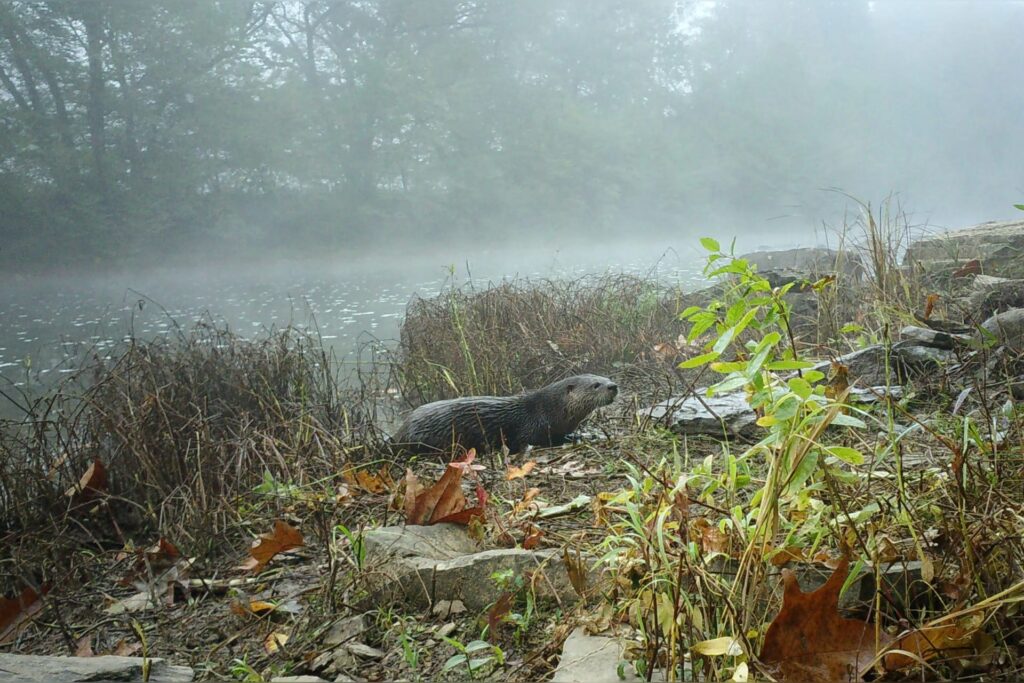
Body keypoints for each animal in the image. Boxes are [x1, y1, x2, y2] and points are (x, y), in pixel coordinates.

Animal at [391, 374, 618, 455]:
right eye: (596, 385)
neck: (547, 410)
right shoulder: (530, 430)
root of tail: (399, 433)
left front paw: (581, 435)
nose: (613, 386)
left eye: (606, 377)